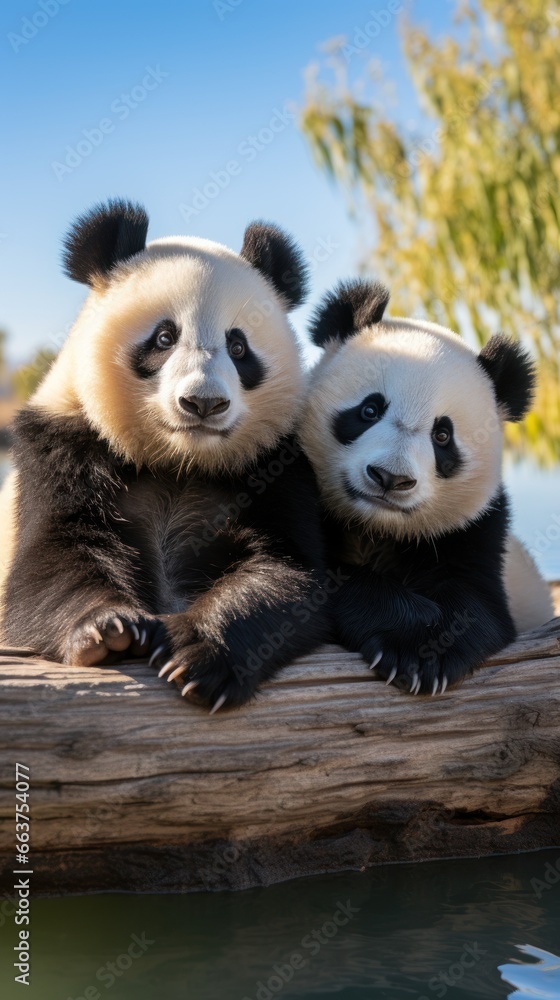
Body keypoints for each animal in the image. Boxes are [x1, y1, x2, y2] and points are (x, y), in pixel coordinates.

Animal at [0, 197, 330, 712]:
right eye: (163, 338)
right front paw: (108, 628)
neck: (178, 461)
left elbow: (285, 571)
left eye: (239, 346)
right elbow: (47, 564)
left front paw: (195, 653)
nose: (203, 403)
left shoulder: (277, 462)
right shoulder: (61, 446)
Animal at [300, 278, 552, 692]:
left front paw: (423, 653)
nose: (390, 478)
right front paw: (408, 639)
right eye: (369, 410)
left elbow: (478, 607)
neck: (376, 527)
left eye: (443, 435)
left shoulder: (476, 528)